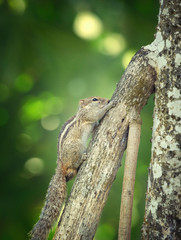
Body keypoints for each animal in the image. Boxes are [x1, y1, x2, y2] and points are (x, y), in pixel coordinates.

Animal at [30, 96, 116, 239]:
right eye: (94, 99)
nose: (107, 100)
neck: (82, 110)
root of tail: (61, 164)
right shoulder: (88, 115)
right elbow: (97, 114)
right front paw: (110, 105)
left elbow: (95, 126)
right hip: (76, 146)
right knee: (74, 164)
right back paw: (82, 159)